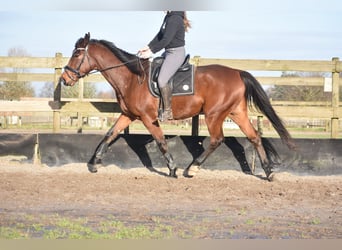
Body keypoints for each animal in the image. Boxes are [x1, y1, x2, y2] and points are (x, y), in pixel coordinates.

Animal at [60, 32, 296, 180]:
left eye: (77, 54)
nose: (64, 79)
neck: (132, 79)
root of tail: (237, 72)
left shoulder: (148, 118)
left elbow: (161, 142)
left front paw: (173, 169)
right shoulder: (128, 115)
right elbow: (110, 134)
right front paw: (94, 163)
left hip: (214, 114)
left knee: (217, 139)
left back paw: (192, 169)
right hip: (236, 112)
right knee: (254, 137)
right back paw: (268, 172)